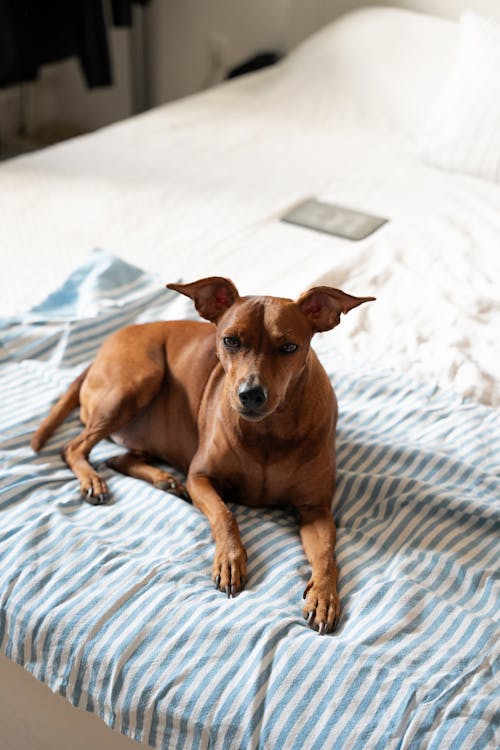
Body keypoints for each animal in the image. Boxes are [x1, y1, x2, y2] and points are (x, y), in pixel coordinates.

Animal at [31, 276, 374, 636]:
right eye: (230, 341)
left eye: (289, 347)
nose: (251, 394)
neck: (268, 431)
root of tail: (102, 349)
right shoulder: (200, 478)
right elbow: (225, 515)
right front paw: (230, 559)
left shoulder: (315, 510)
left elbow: (326, 555)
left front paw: (323, 596)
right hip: (136, 382)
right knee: (73, 447)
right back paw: (94, 481)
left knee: (118, 459)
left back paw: (164, 479)